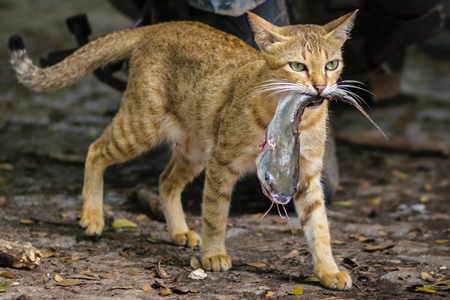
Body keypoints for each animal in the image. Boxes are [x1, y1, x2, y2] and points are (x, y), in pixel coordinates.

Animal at [7, 10, 358, 290]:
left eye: (332, 64)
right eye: (297, 65)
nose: (320, 87)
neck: (295, 117)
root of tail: (161, 25)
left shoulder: (306, 175)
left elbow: (320, 227)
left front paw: (328, 270)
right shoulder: (222, 163)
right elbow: (215, 213)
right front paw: (214, 254)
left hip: (193, 148)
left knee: (165, 181)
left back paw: (179, 231)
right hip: (141, 127)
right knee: (95, 151)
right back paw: (92, 215)